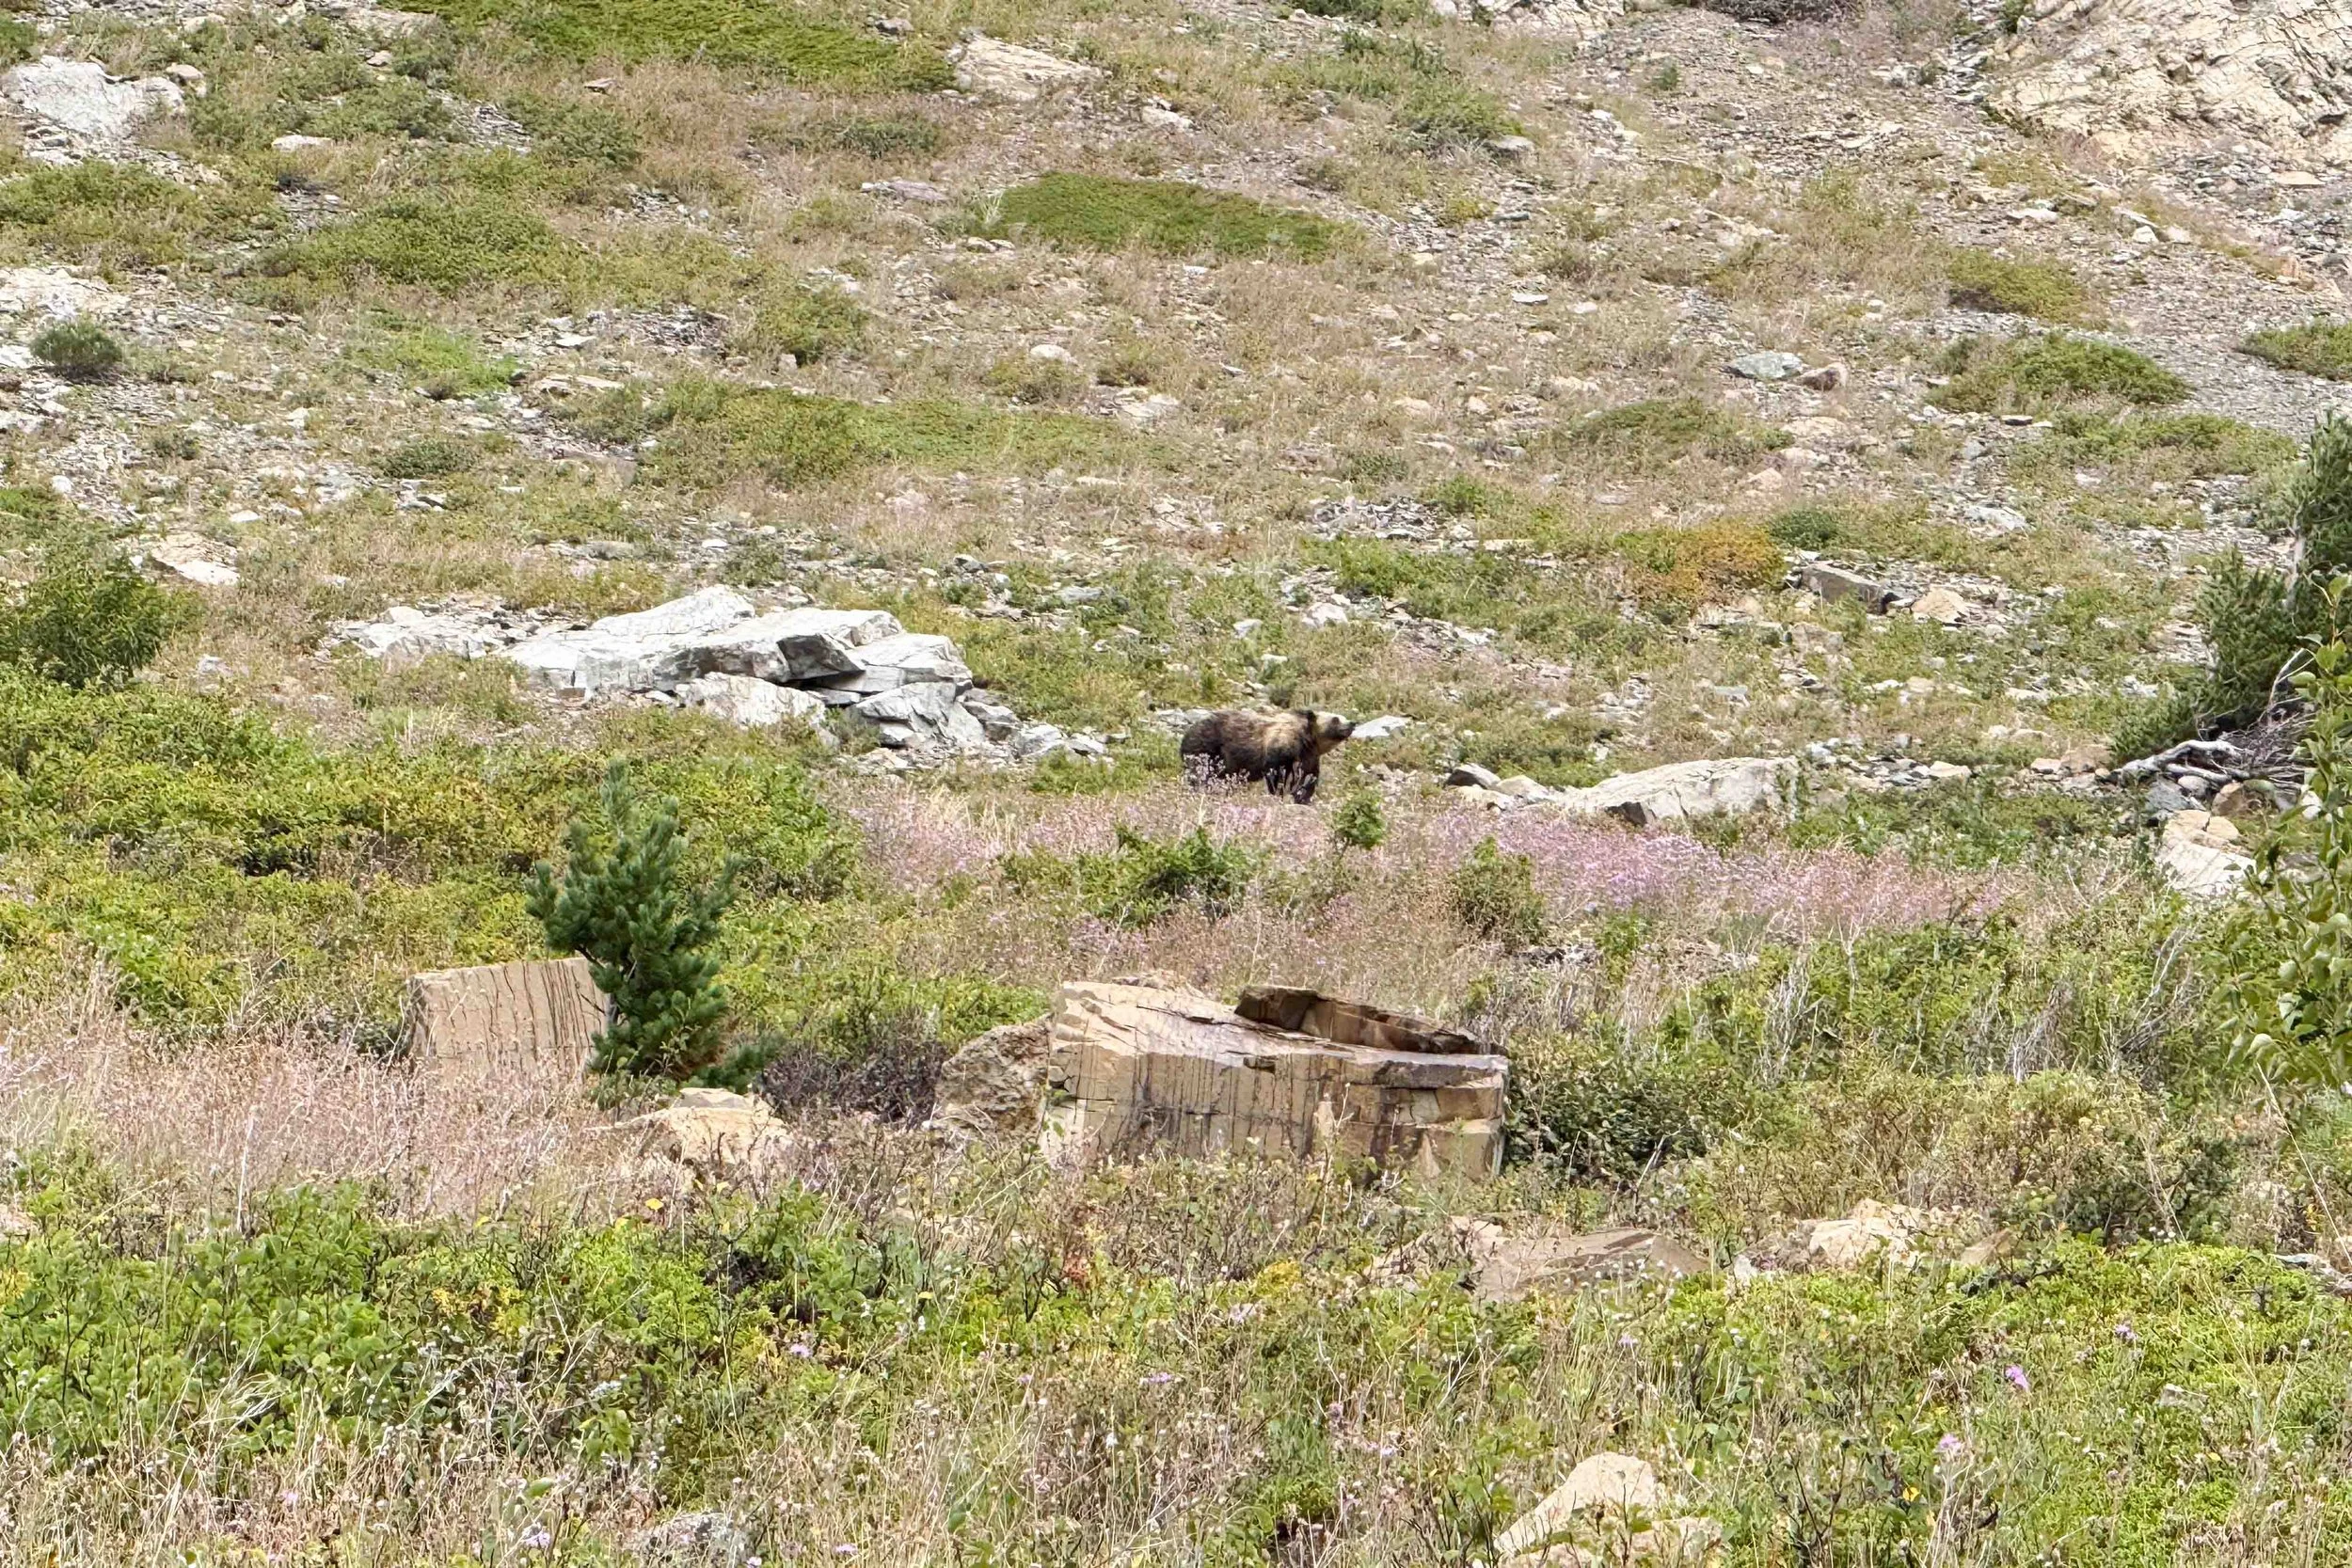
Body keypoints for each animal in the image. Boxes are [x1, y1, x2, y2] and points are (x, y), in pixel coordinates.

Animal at [1180, 708, 1354, 804]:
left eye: (1342, 716)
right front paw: (1279, 793)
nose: (1352, 723)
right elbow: (1277, 775)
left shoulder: (1309, 757)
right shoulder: (1281, 749)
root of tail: (1187, 732)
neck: (1307, 740)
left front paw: (1303, 797)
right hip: (1206, 748)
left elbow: (1308, 778)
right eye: (1335, 719)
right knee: (1200, 773)